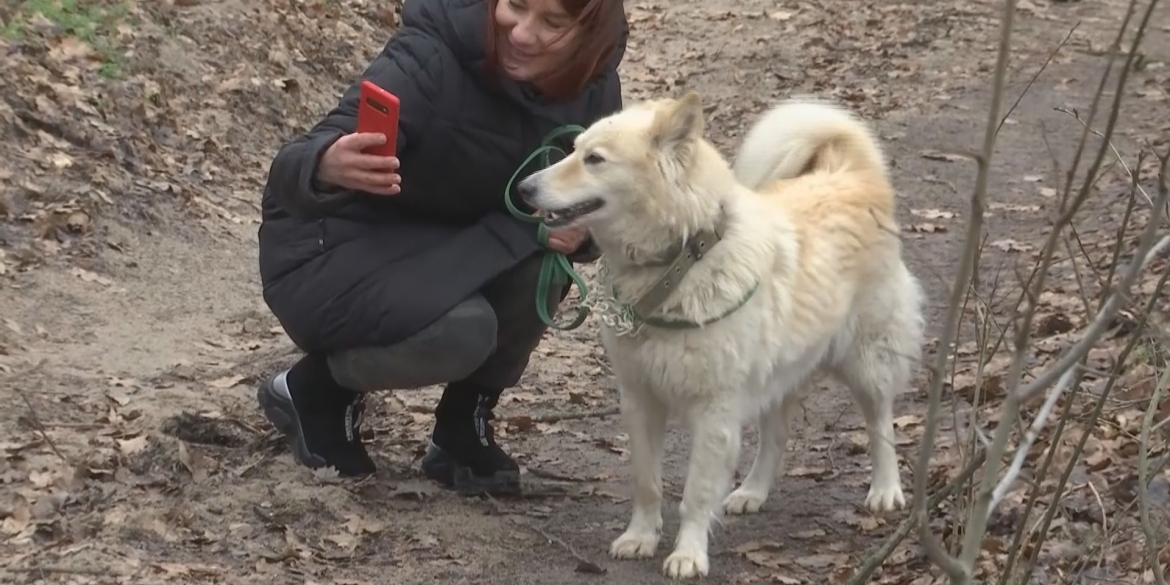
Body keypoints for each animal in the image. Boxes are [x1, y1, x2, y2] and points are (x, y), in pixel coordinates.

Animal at [517, 93, 926, 577]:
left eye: (594, 159)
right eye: (574, 149)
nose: (522, 189)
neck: (678, 263)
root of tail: (850, 173)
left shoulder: (715, 412)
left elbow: (695, 493)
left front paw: (688, 554)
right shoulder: (640, 400)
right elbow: (647, 482)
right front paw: (640, 537)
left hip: (867, 359)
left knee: (880, 423)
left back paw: (885, 490)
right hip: (779, 371)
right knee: (776, 436)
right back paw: (752, 492)